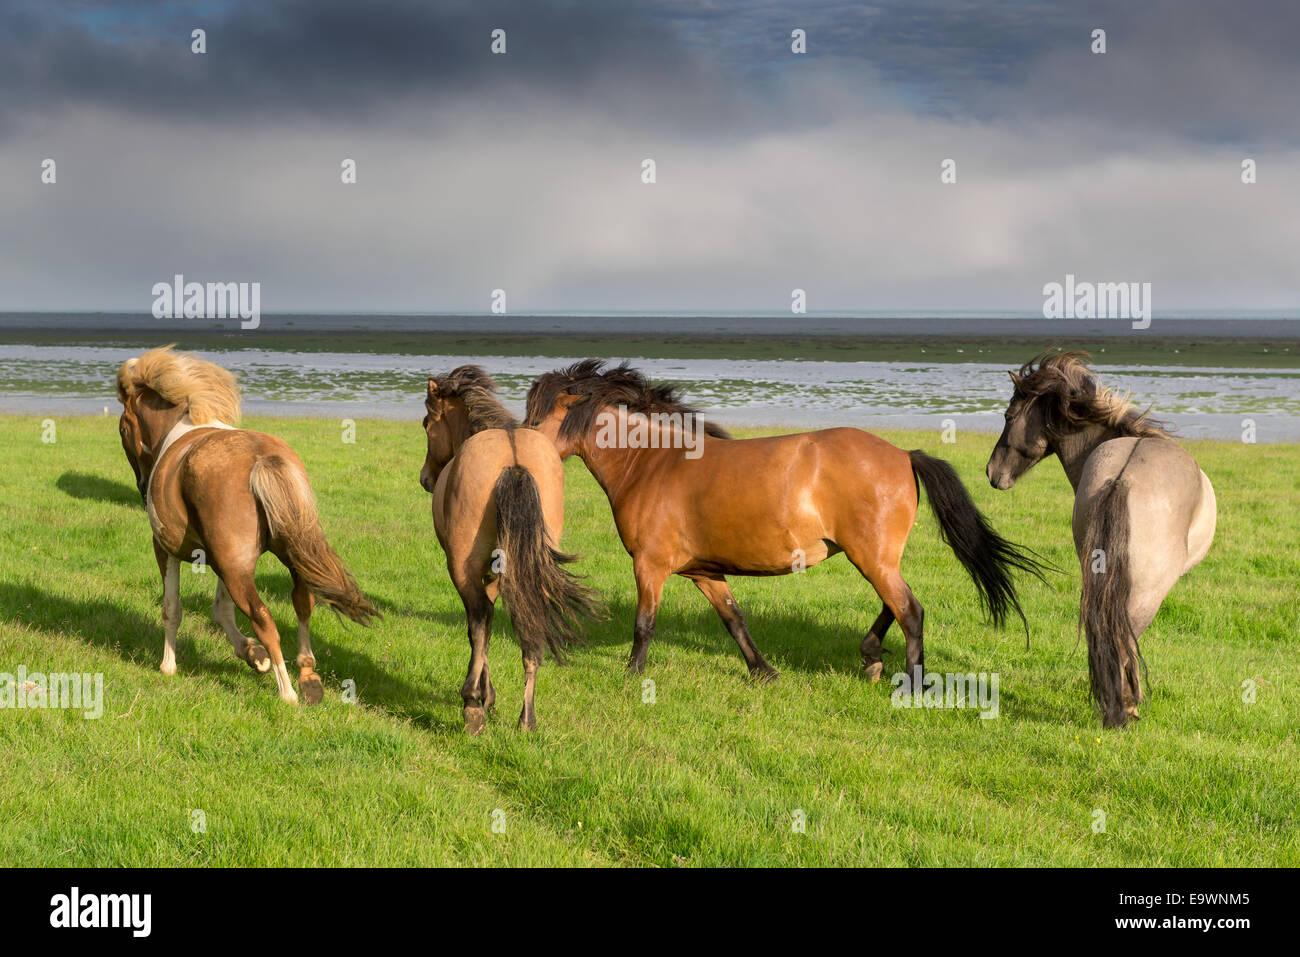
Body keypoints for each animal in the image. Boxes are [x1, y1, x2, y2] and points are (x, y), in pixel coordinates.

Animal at [117, 343, 379, 702]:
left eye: (122, 427)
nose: (142, 488)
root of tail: (261, 459)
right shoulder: (220, 561)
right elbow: (221, 609)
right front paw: (254, 656)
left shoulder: (166, 549)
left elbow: (173, 608)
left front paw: (168, 665)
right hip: (280, 557)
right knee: (302, 603)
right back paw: (308, 677)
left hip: (237, 569)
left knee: (264, 619)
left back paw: (288, 694)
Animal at [421, 366, 603, 733]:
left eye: (425, 423)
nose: (425, 479)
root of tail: (514, 462)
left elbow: (479, 629)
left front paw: (481, 697)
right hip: (529, 565)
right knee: (529, 620)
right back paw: (527, 717)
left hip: (463, 566)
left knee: (479, 619)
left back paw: (472, 706)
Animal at [525, 361, 1045, 686]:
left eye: (539, 416)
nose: (524, 450)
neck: (651, 465)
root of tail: (903, 455)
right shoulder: (704, 572)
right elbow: (734, 620)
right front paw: (763, 672)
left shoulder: (650, 567)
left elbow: (643, 624)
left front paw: (631, 675)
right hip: (875, 557)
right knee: (894, 605)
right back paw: (870, 657)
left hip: (871, 556)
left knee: (910, 611)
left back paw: (911, 685)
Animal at [982, 351, 1216, 722]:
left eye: (1008, 416)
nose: (992, 472)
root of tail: (1122, 480)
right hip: (1147, 594)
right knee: (1125, 639)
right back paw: (1126, 706)